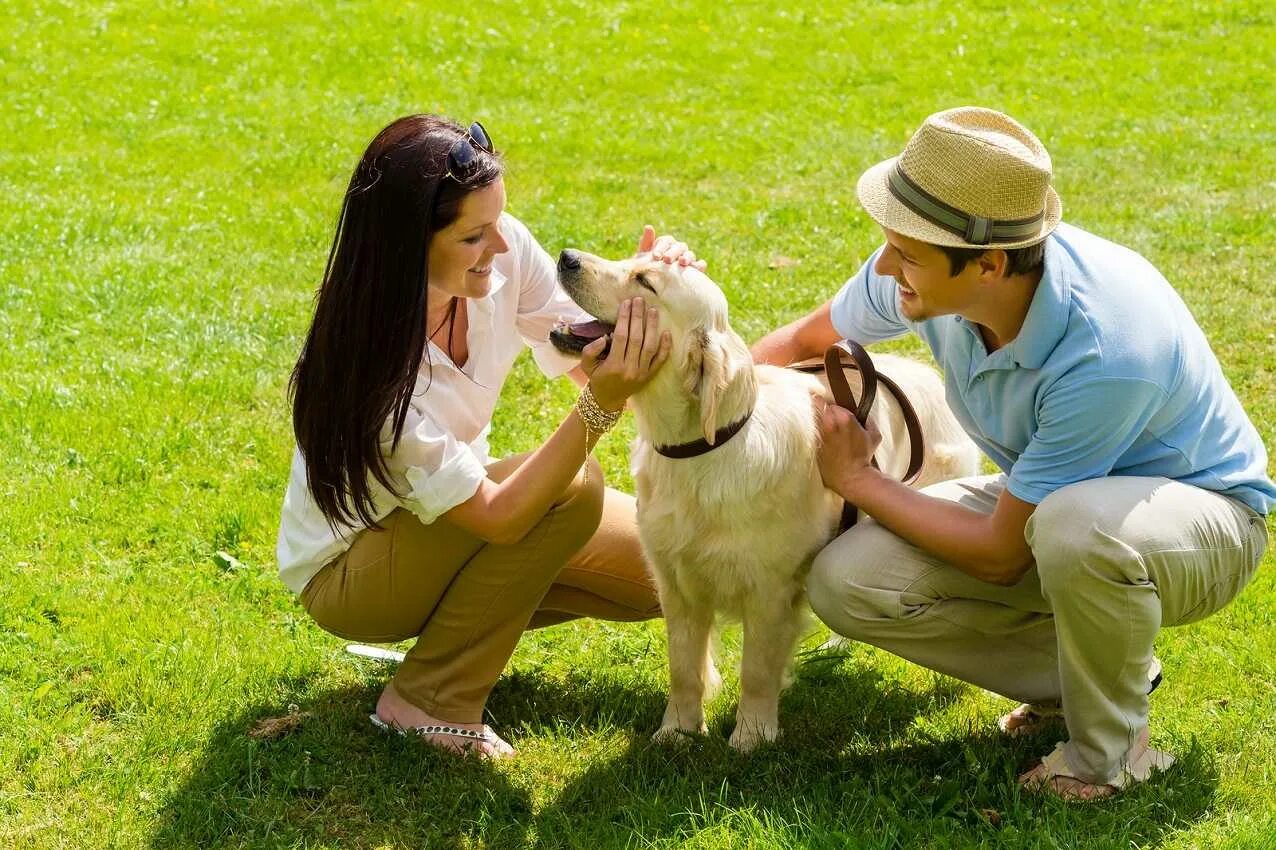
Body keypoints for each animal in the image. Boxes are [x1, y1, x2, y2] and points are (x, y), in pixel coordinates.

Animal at [548, 246, 974, 750]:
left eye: (645, 281)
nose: (567, 256)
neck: (703, 450)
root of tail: (925, 373)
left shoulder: (770, 590)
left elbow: (756, 670)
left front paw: (751, 735)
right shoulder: (675, 584)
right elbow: (683, 668)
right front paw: (677, 731)